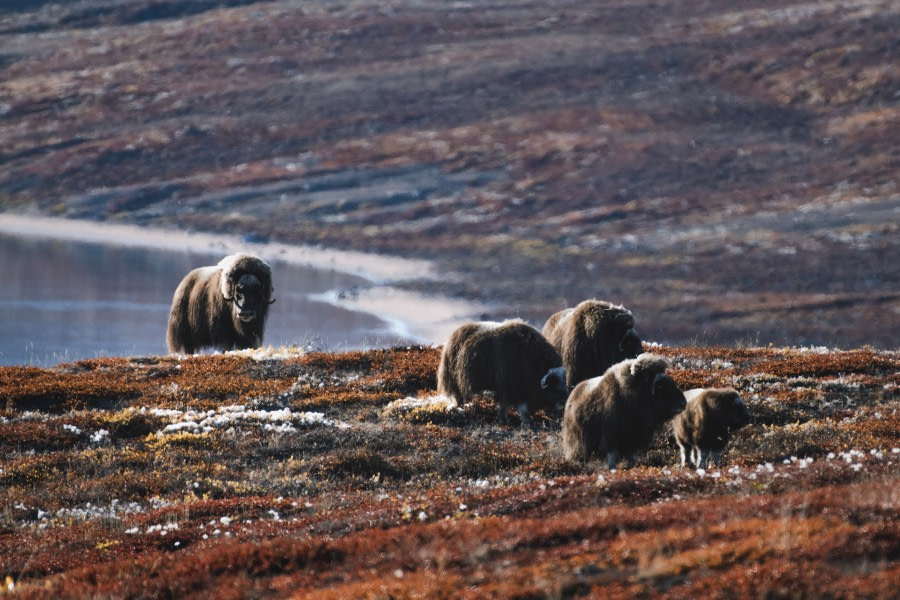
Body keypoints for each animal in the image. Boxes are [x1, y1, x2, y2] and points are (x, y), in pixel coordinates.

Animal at [438, 318, 568, 422]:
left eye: (563, 382)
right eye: (553, 383)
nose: (564, 401)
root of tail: (453, 336)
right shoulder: (511, 387)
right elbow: (513, 405)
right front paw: (512, 419)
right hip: (455, 379)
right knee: (457, 395)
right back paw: (459, 409)